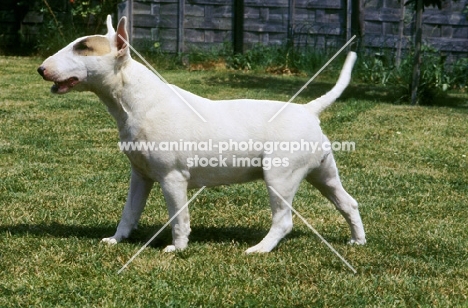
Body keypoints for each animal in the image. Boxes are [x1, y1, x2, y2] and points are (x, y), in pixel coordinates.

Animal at [37, 15, 366, 253]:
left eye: (83, 47)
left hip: (280, 175)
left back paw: (259, 249)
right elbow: (129, 212)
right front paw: (115, 240)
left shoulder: (172, 177)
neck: (138, 101)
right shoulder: (140, 175)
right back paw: (358, 241)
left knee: (283, 221)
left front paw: (177, 248)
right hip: (322, 172)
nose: (41, 69)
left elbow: (178, 217)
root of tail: (309, 110)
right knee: (348, 202)